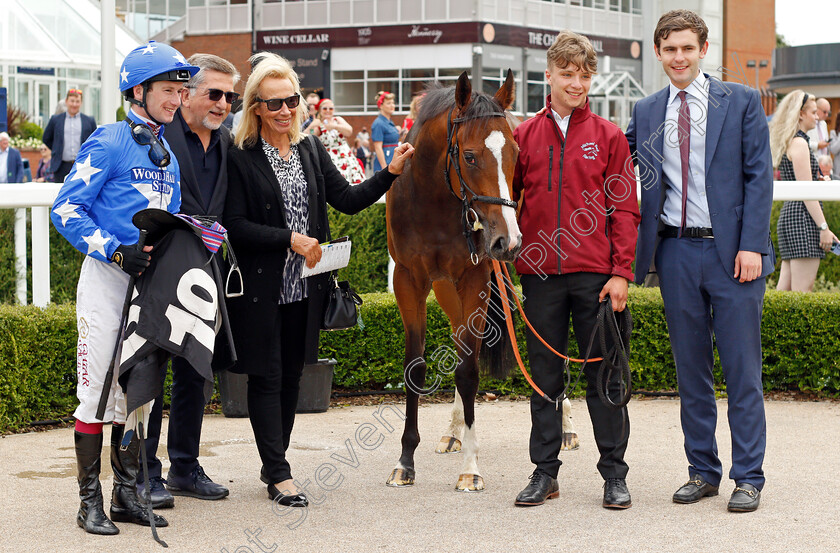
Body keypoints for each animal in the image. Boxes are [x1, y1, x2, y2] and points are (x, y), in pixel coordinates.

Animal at [384, 71, 520, 490]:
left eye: (514, 152)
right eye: (470, 155)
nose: (507, 240)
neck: (432, 199)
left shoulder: (475, 276)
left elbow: (469, 370)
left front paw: (470, 467)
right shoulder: (409, 280)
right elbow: (417, 367)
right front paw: (405, 461)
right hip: (447, 287)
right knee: (463, 342)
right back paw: (453, 432)